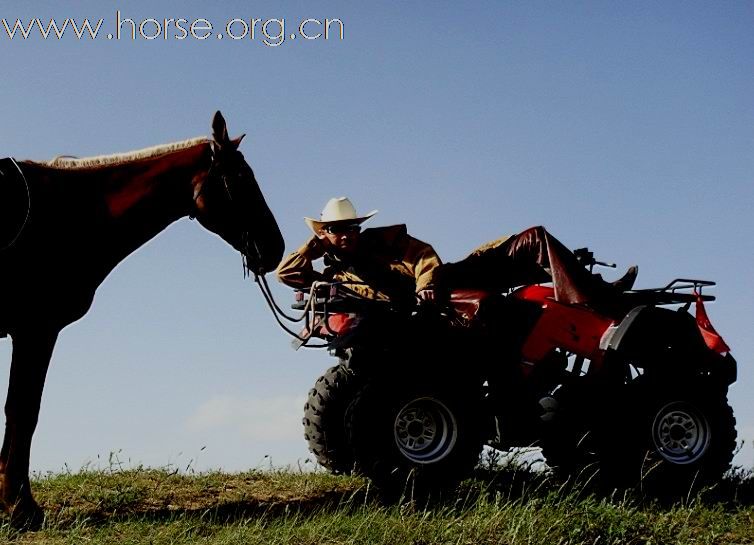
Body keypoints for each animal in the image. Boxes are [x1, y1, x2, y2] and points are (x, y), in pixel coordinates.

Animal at [0, 111, 284, 528]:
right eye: (243, 181)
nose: (275, 247)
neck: (68, 213)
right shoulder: (35, 330)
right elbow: (23, 412)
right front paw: (20, 507)